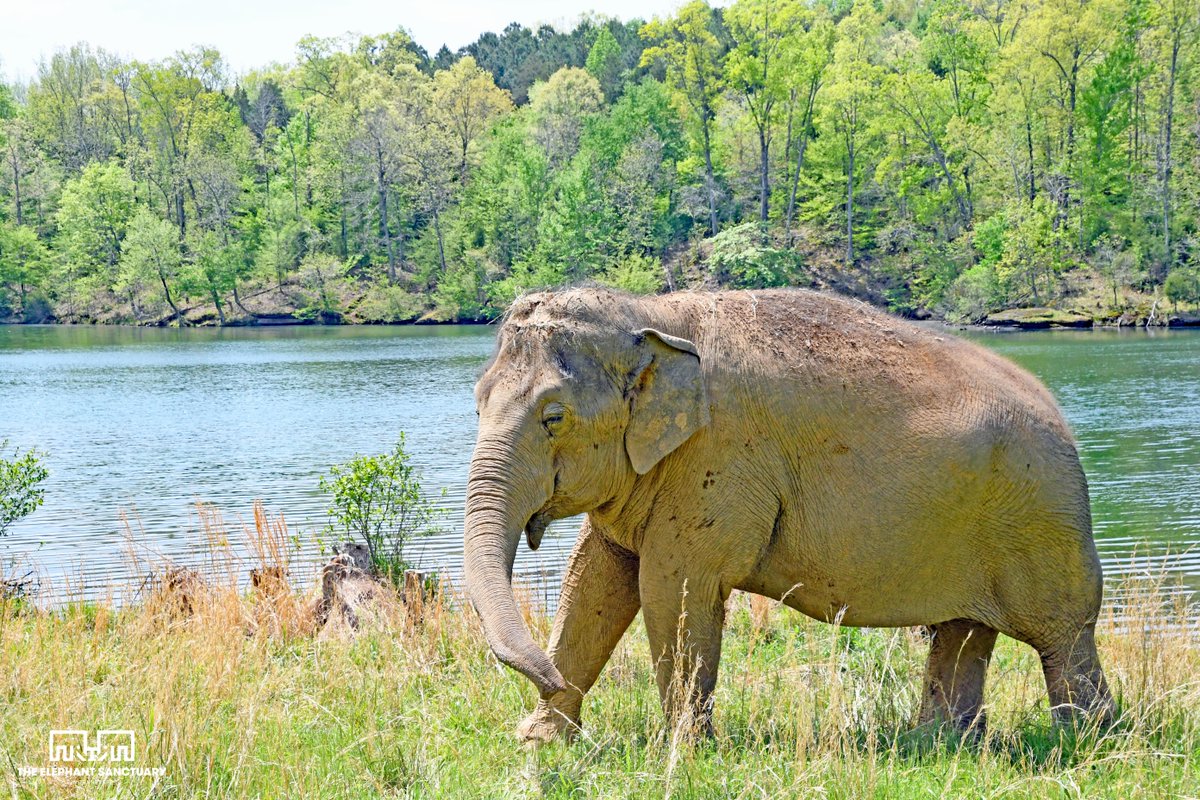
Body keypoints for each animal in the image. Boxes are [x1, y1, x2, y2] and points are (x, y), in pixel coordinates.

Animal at [463, 287, 1113, 743]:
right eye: (476, 402)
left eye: (554, 417)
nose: (545, 676)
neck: (652, 313)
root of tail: (1062, 421)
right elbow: (596, 581)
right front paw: (540, 741)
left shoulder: (719, 465)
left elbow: (672, 587)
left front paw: (683, 751)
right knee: (963, 632)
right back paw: (939, 743)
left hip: (1041, 519)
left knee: (1062, 636)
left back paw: (1085, 741)